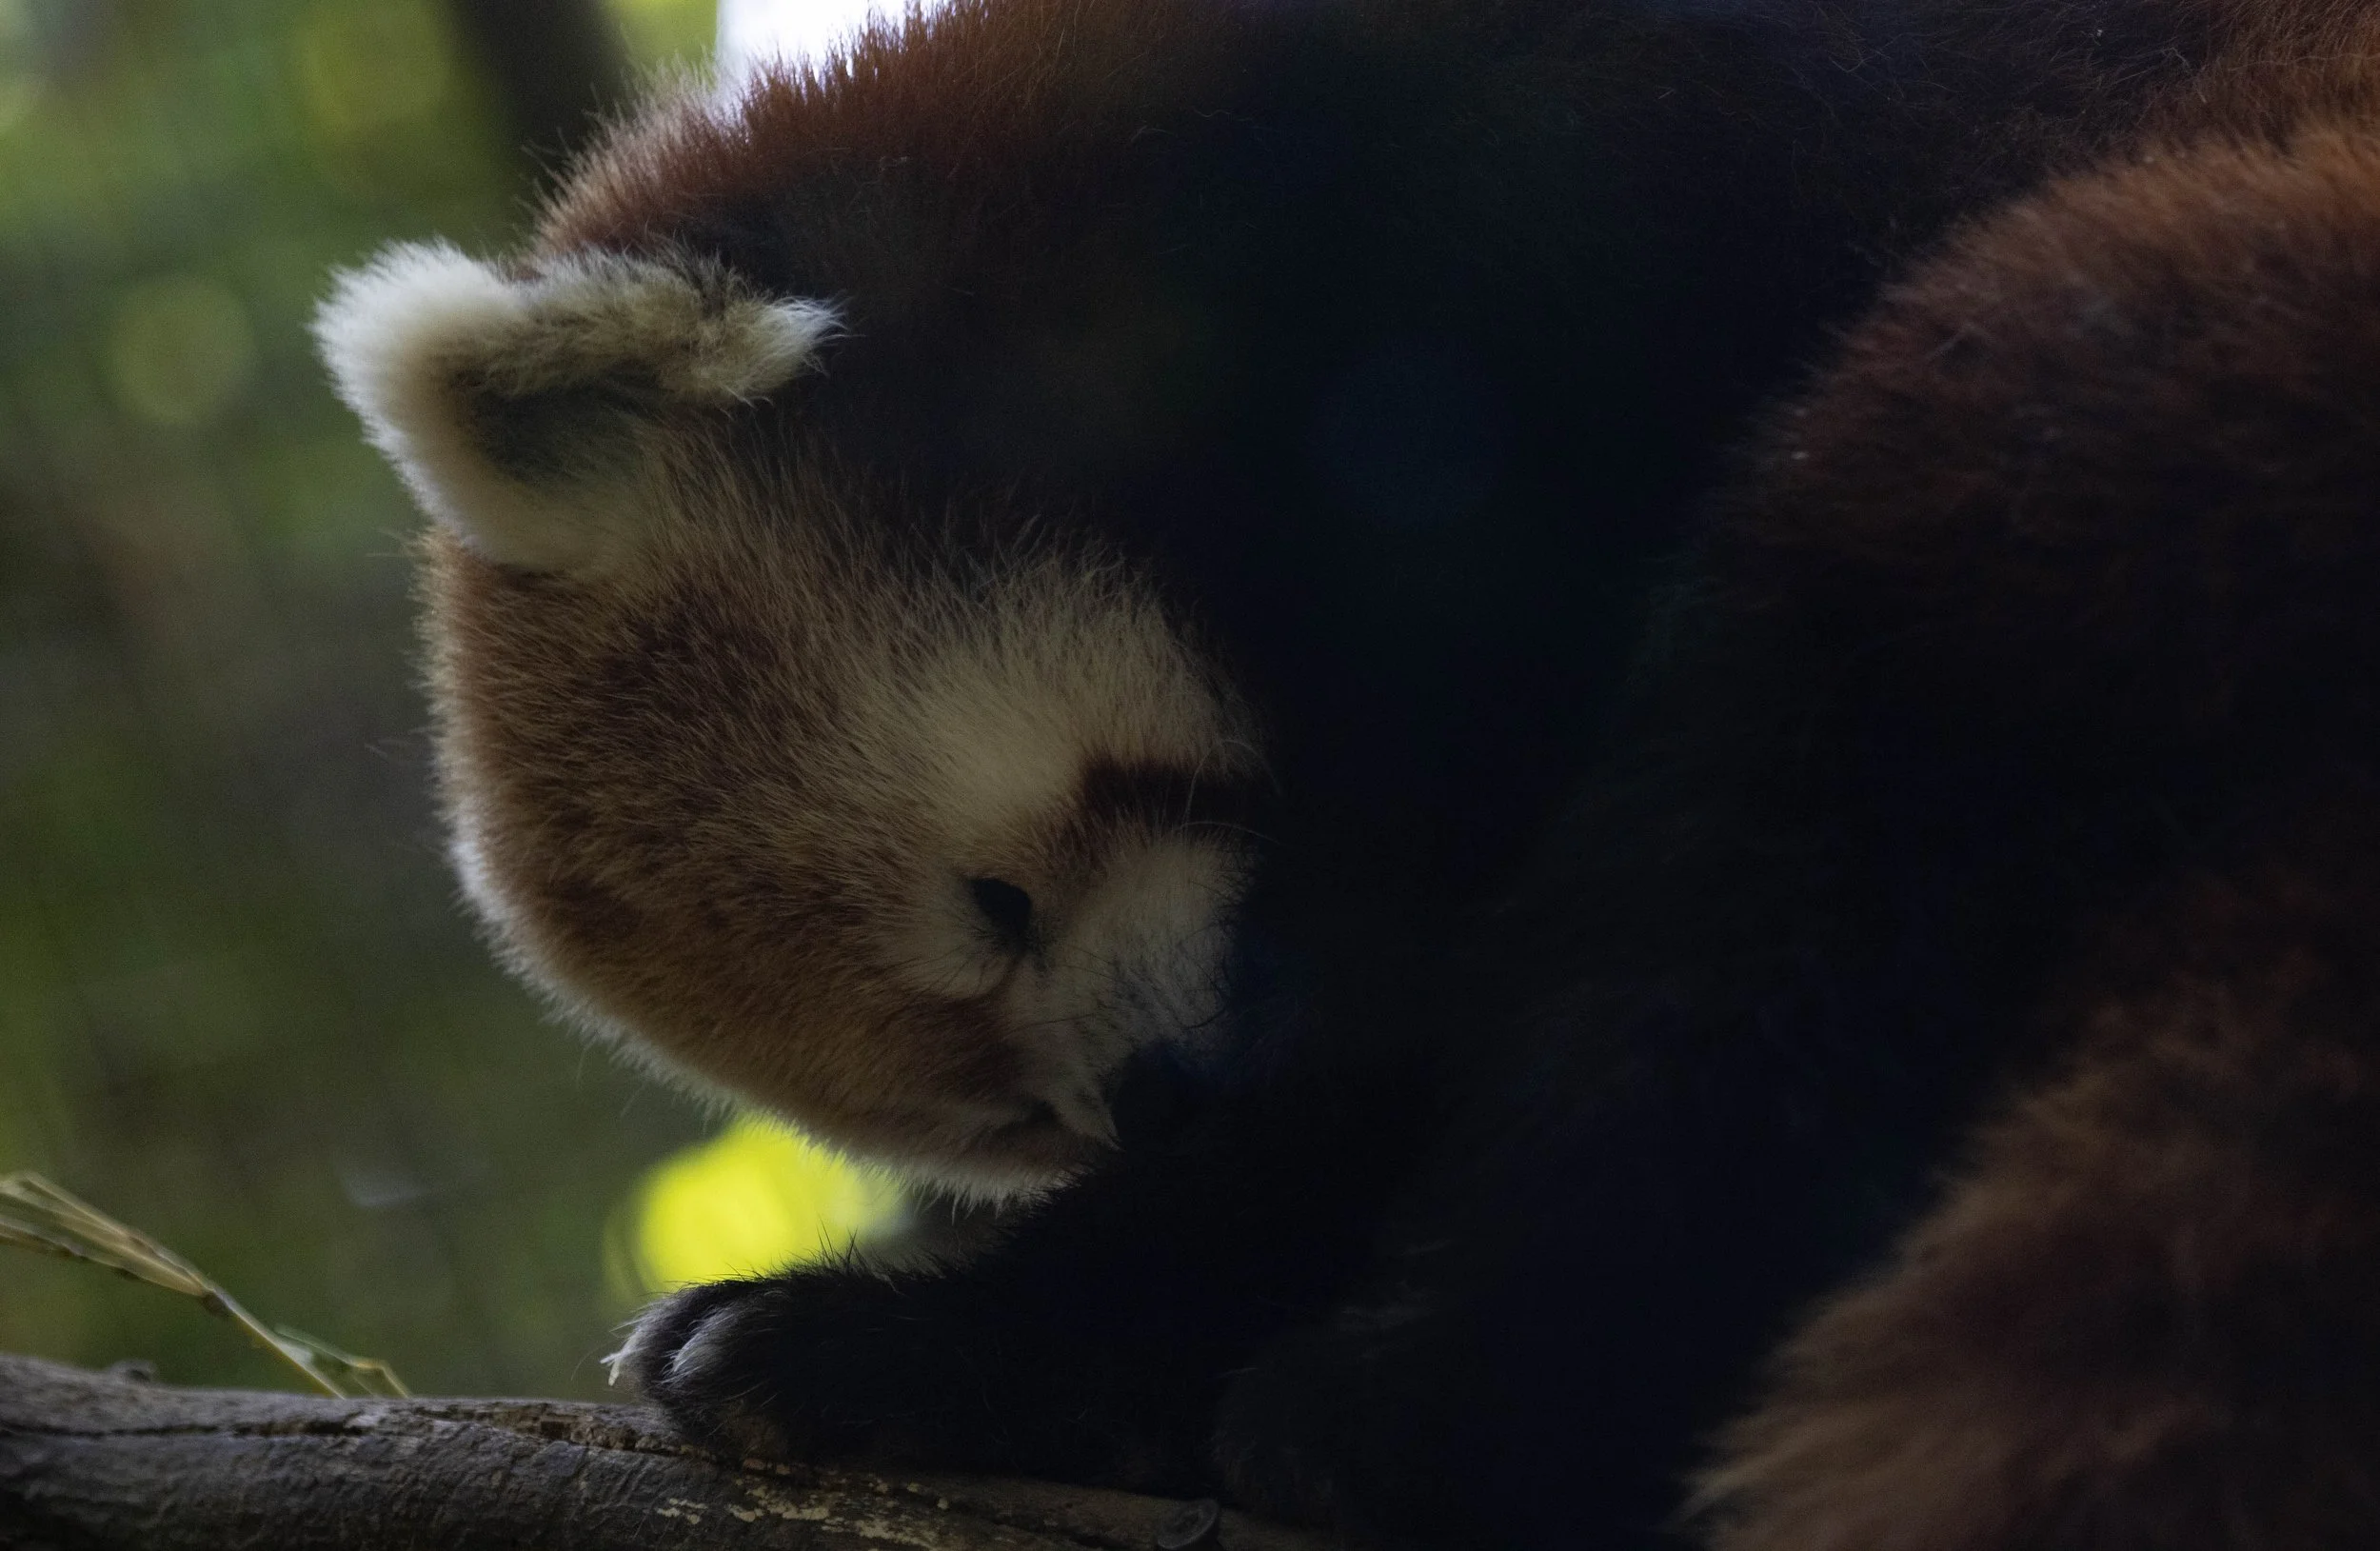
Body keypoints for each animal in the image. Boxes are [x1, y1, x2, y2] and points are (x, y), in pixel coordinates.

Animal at [314, 0, 2380, 1545]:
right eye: (998, 1099)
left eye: (997, 903)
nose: (1150, 1096)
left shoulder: (1609, 238)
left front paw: (905, 1335)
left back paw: (1424, 1402)